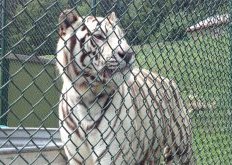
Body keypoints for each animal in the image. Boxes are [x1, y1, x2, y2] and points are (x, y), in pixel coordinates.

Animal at [55, 9, 192, 165]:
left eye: (121, 37)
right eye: (99, 36)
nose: (128, 54)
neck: (86, 95)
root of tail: (169, 80)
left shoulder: (112, 156)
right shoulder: (76, 158)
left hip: (182, 148)